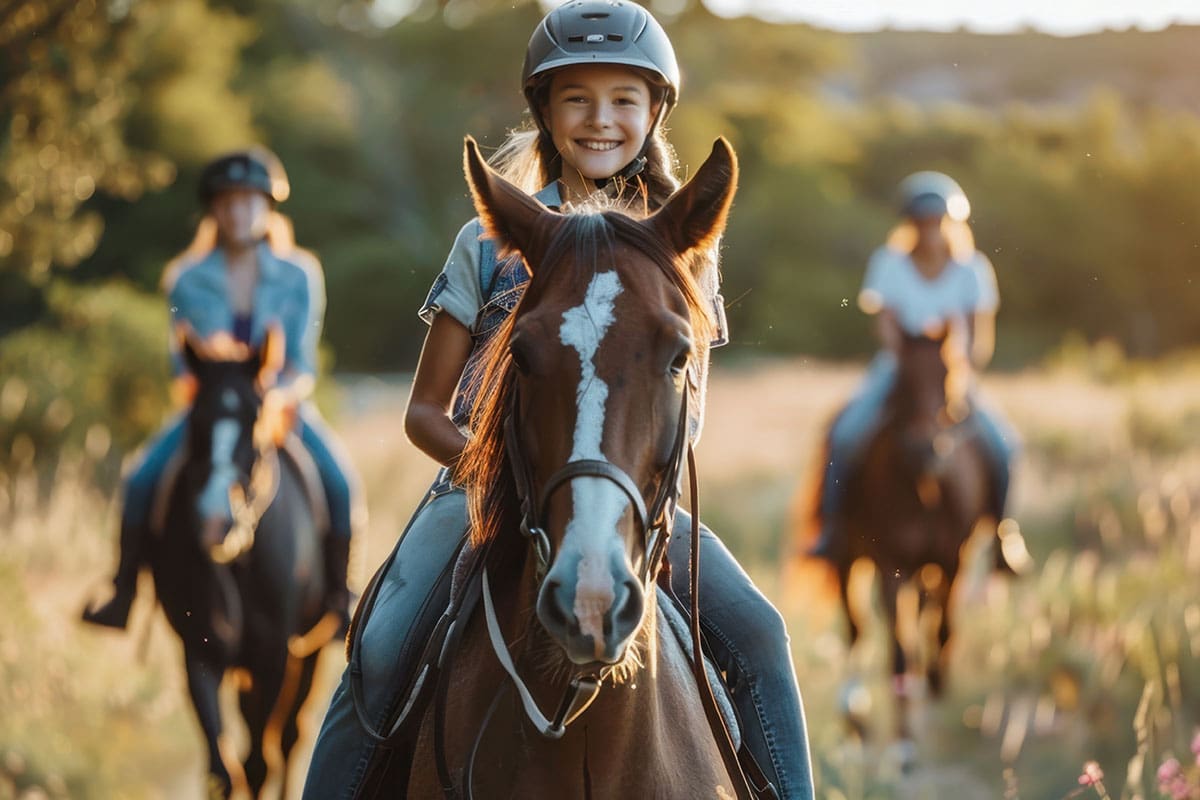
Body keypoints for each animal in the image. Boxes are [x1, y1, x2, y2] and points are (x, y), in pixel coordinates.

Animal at [152, 329, 335, 798]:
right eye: (196, 421)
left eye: (255, 419)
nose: (216, 521)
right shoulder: (200, 653)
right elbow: (222, 768)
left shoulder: (275, 657)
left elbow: (257, 764)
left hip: (309, 651)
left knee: (288, 739)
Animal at [804, 329, 998, 761]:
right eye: (903, 382)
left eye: (950, 376)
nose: (926, 450)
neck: (922, 489)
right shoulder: (890, 565)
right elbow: (898, 651)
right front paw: (903, 745)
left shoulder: (951, 561)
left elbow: (940, 629)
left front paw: (933, 692)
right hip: (849, 559)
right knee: (857, 629)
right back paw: (855, 719)